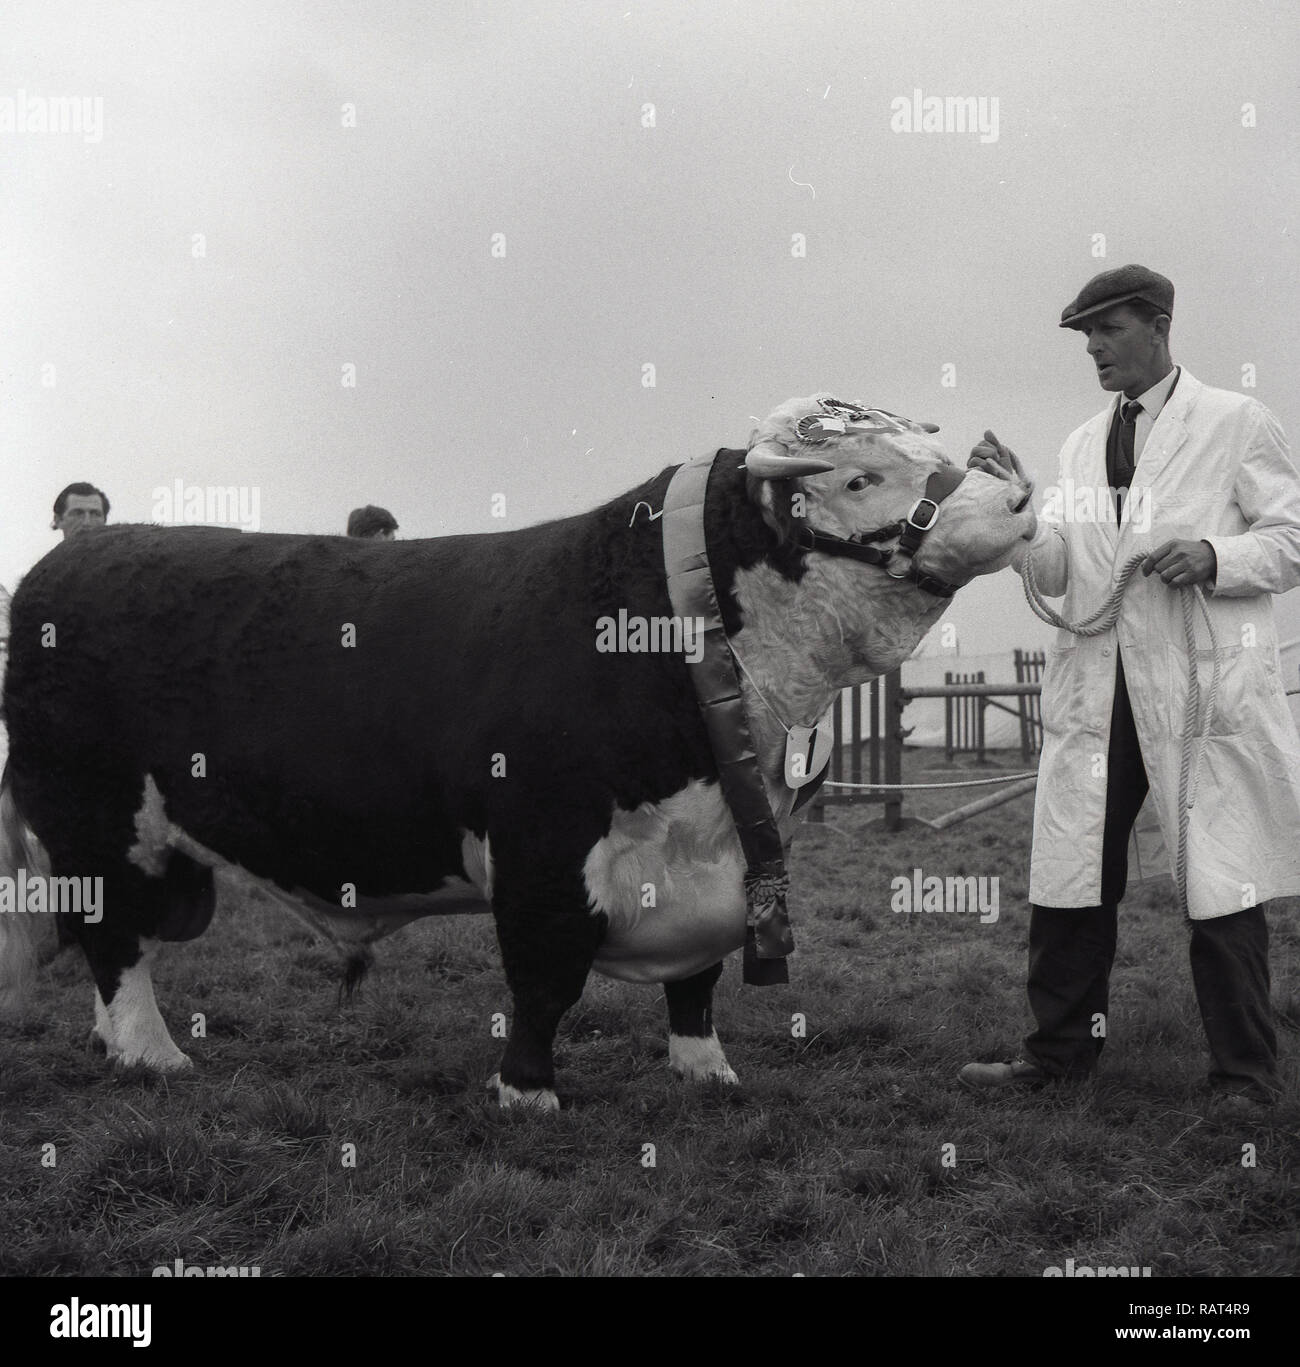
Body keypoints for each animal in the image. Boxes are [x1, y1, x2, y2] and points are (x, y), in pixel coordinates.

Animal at [0, 396, 1038, 1110]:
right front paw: (528, 1090)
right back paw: (153, 1052)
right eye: (860, 478)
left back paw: (120, 1046)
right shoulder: (545, 840)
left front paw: (706, 1070)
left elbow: (698, 979)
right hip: (95, 826)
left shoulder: (731, 850)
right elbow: (545, 976)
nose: (1020, 495)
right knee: (114, 940)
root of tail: (71, 559)